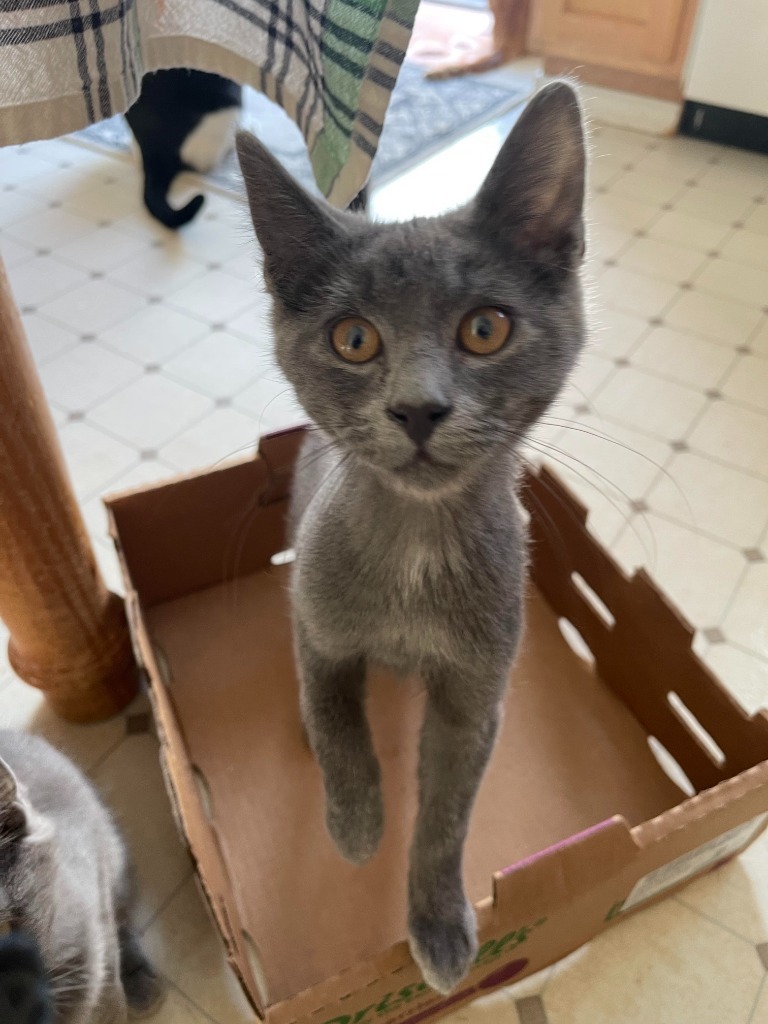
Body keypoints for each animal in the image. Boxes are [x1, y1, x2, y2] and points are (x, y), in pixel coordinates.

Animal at [237, 83, 585, 995]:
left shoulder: (475, 693)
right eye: (353, 339)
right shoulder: (316, 619)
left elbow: (447, 814)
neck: (415, 554)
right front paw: (356, 822)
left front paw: (438, 921)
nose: (419, 408)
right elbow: (336, 719)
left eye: (486, 329)